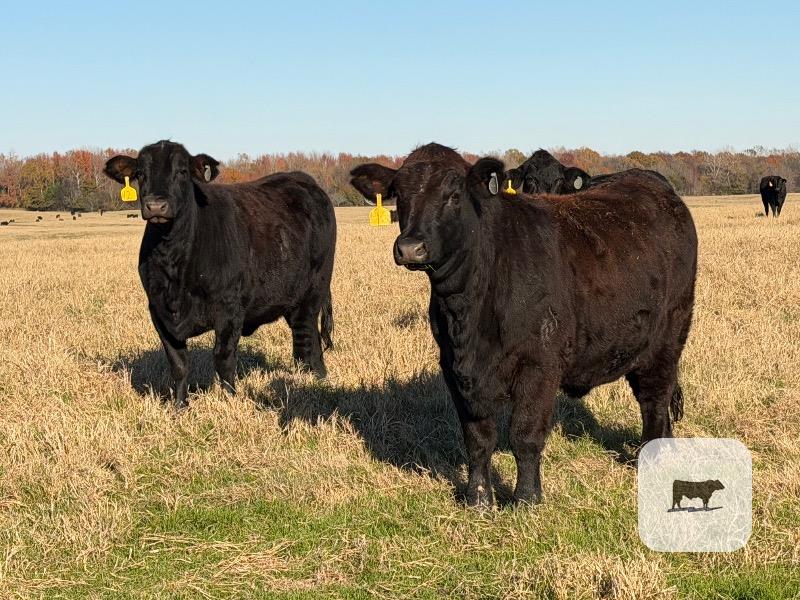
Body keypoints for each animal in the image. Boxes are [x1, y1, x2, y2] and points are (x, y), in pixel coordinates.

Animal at [104, 140, 337, 409]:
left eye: (182, 171)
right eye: (141, 174)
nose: (155, 206)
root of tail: (302, 179)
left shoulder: (229, 308)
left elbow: (223, 359)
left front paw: (230, 402)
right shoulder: (158, 311)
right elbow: (178, 363)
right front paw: (179, 407)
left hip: (314, 289)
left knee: (307, 337)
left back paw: (315, 379)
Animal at [350, 143, 697, 507]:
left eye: (454, 195)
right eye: (400, 195)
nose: (410, 248)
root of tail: (650, 181)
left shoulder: (539, 364)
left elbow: (525, 434)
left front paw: (527, 498)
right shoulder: (455, 369)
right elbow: (477, 437)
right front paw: (478, 498)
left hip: (669, 333)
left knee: (654, 398)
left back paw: (652, 459)